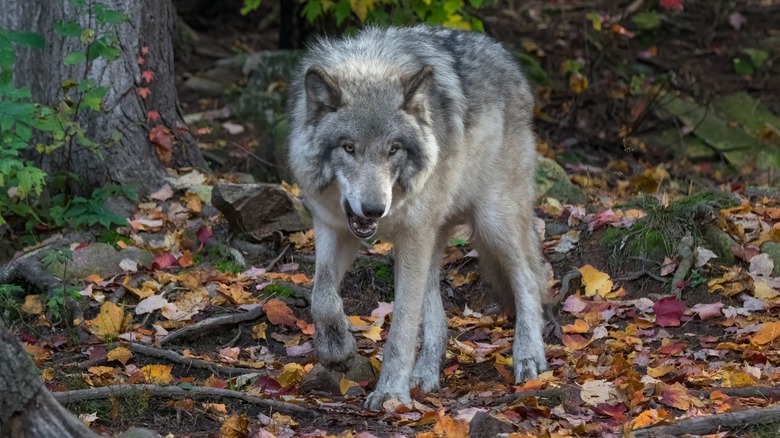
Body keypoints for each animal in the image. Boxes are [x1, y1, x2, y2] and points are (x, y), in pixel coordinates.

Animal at [288, 24, 548, 410]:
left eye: (393, 149)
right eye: (348, 148)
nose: (374, 209)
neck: (371, 66)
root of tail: (505, 57)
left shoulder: (412, 234)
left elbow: (403, 326)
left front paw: (391, 393)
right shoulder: (333, 225)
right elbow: (321, 294)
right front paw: (336, 348)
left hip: (491, 222)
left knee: (529, 280)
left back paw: (529, 358)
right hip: (432, 236)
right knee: (438, 316)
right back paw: (425, 374)